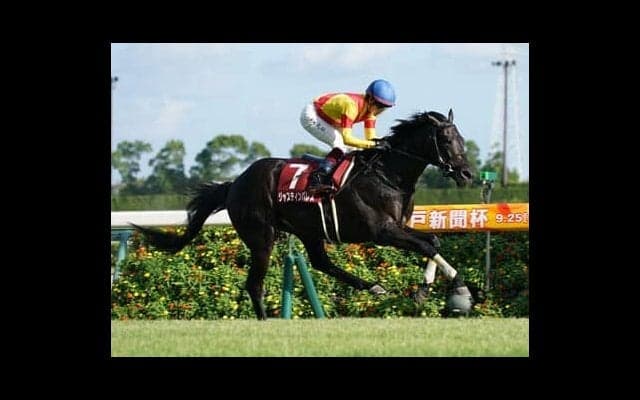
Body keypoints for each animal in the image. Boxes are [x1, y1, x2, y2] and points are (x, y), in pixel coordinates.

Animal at [133, 109, 474, 320]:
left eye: (461, 139)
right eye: (446, 140)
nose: (467, 174)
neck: (388, 175)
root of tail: (234, 184)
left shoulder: (398, 227)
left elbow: (432, 242)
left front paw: (439, 288)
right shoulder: (381, 232)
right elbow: (427, 245)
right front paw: (446, 289)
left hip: (309, 231)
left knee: (321, 263)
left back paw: (373, 286)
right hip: (261, 236)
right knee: (254, 283)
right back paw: (265, 320)